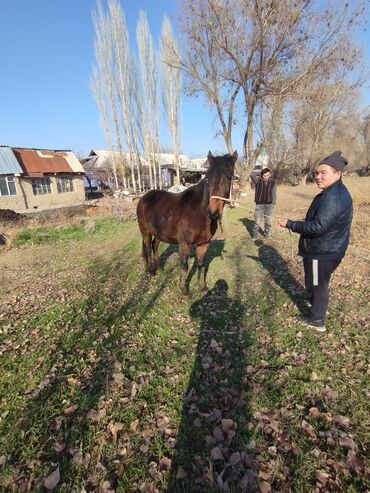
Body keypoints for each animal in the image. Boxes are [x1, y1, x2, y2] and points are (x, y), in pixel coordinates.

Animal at [136, 150, 237, 294]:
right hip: (145, 232)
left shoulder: (204, 244)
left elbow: (201, 264)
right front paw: (184, 290)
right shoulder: (184, 244)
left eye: (229, 178)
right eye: (207, 180)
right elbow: (184, 265)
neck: (199, 213)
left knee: (155, 246)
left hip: (159, 233)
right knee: (148, 249)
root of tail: (143, 198)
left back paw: (160, 269)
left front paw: (203, 287)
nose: (213, 212)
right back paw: (151, 271)